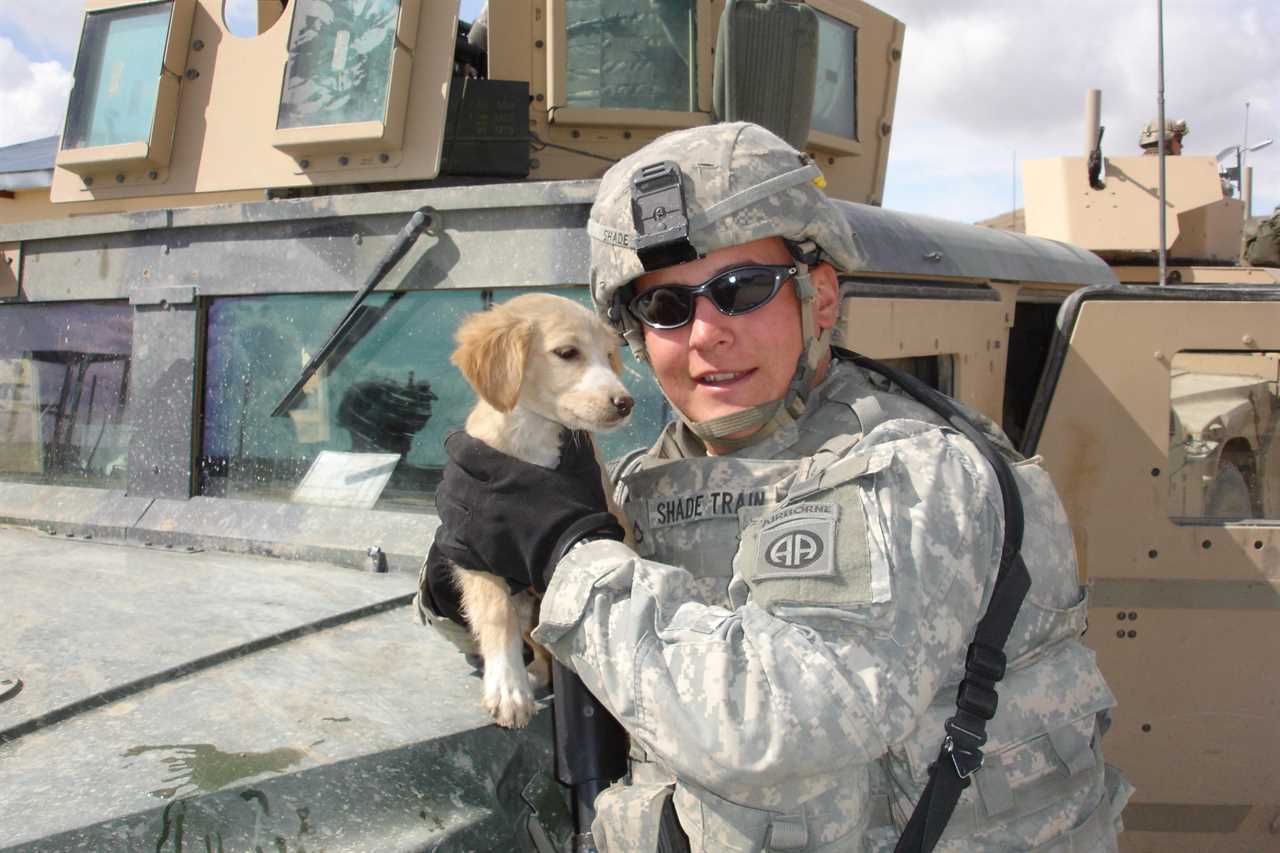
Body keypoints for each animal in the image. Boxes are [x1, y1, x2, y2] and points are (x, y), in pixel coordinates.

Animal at [445, 292, 634, 722]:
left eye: (609, 354)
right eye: (567, 352)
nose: (625, 402)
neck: (534, 437)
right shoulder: (471, 547)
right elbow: (496, 612)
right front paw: (507, 686)